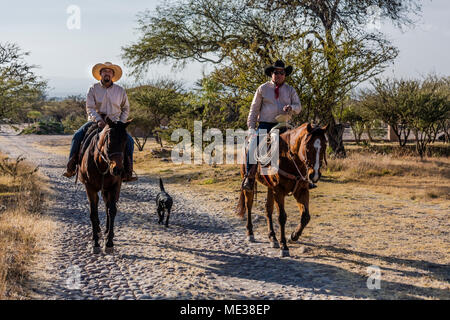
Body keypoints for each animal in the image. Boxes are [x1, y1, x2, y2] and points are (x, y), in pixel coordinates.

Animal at [78, 116, 132, 254]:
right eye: (109, 141)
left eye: (125, 141)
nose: (117, 169)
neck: (102, 163)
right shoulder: (90, 187)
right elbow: (93, 213)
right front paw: (96, 243)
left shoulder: (115, 186)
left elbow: (112, 211)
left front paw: (109, 243)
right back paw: (97, 232)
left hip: (107, 189)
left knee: (107, 206)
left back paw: (107, 232)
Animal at [237, 122, 328, 258]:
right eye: (307, 147)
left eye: (324, 147)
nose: (314, 175)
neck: (289, 159)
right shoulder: (278, 190)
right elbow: (282, 217)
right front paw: (284, 246)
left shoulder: (301, 190)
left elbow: (305, 216)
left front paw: (293, 236)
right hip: (250, 184)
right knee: (249, 205)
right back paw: (250, 233)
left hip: (270, 188)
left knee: (268, 209)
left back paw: (272, 238)